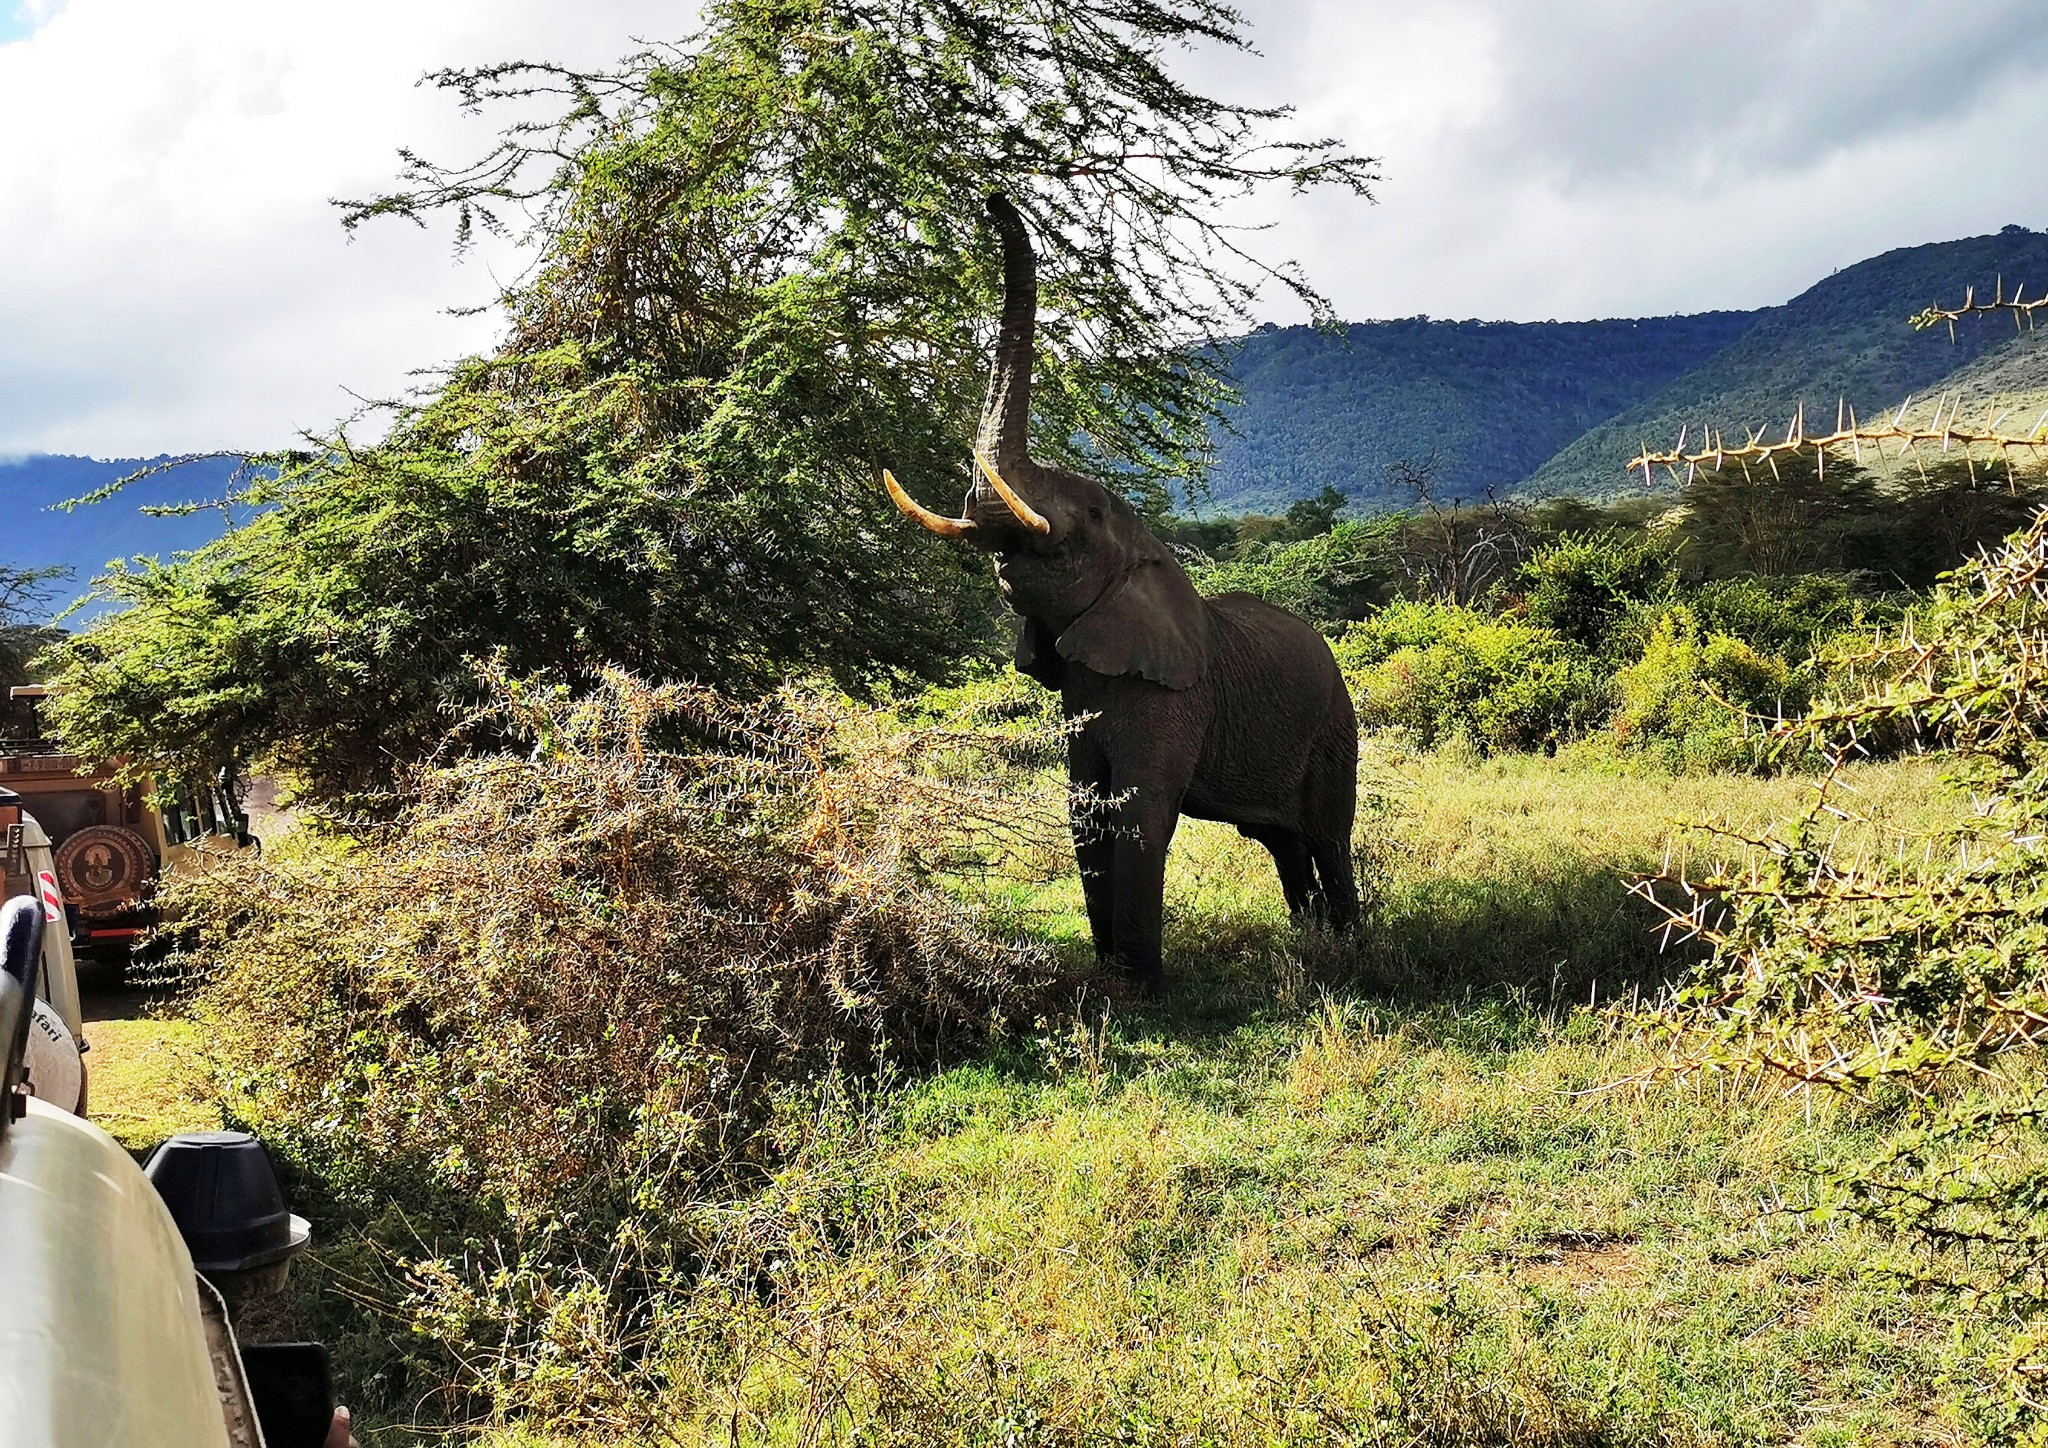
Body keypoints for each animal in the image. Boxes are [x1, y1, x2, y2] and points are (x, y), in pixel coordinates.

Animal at [884, 192, 1351, 991]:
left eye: (1094, 516)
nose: (995, 198)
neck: (1150, 559)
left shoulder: (1171, 694)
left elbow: (1137, 812)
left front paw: (1136, 989)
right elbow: (1084, 810)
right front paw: (1108, 975)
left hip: (1334, 723)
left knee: (1327, 834)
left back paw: (1353, 944)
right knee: (1281, 840)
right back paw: (1311, 939)